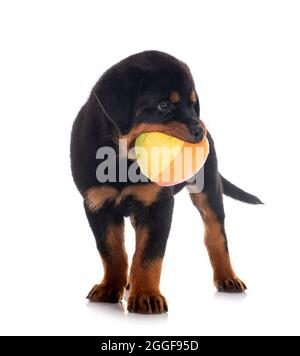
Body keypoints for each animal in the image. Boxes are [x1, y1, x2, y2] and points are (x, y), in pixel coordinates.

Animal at [69, 50, 260, 314]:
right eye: (164, 105)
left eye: (193, 104)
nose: (200, 130)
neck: (121, 158)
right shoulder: (98, 206)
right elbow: (112, 252)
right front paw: (110, 288)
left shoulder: (158, 205)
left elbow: (148, 255)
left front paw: (147, 295)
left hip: (208, 187)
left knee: (215, 234)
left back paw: (227, 277)